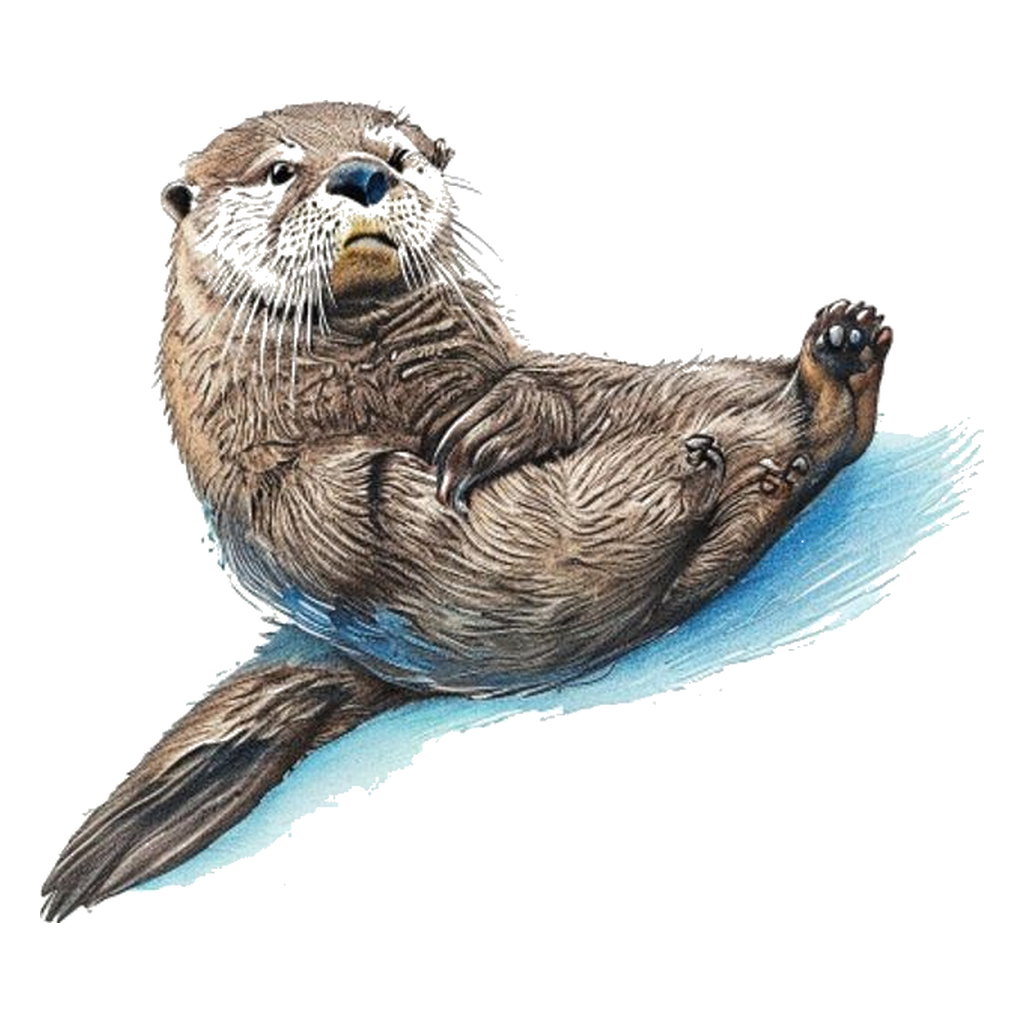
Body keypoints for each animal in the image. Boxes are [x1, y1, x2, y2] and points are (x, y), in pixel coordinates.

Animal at [41, 102, 892, 920]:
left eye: (396, 154)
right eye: (281, 169)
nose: (360, 175)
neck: (376, 381)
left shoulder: (509, 360)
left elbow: (545, 384)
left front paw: (503, 420)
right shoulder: (261, 460)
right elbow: (337, 501)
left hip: (690, 384)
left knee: (751, 425)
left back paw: (834, 365)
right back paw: (710, 470)